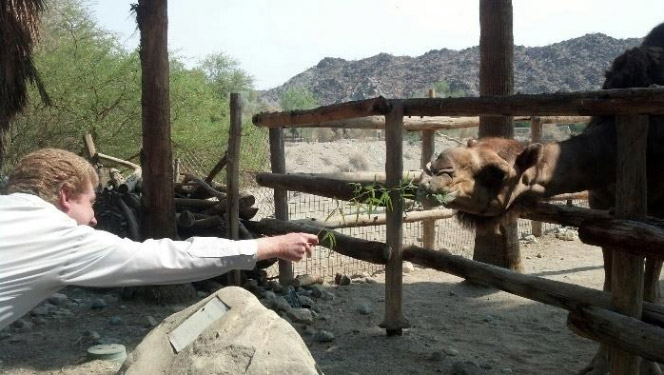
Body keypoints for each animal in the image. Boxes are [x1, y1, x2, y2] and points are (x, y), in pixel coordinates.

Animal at [420, 22, 664, 375]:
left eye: (496, 172)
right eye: (469, 144)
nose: (437, 169)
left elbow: (647, 288)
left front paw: (648, 365)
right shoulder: (603, 205)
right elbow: (610, 286)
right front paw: (599, 363)